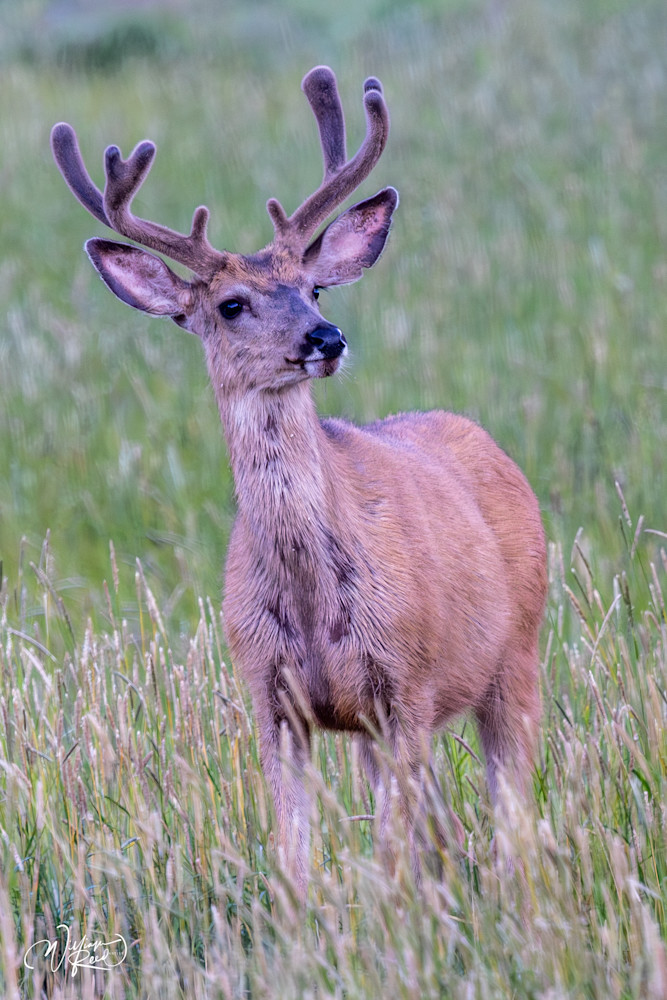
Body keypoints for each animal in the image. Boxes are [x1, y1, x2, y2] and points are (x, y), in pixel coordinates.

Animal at [51, 65, 547, 899]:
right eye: (231, 303)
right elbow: (293, 855)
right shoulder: (273, 698)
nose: (327, 338)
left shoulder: (406, 685)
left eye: (314, 289)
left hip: (517, 653)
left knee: (509, 812)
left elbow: (389, 853)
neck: (312, 601)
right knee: (443, 824)